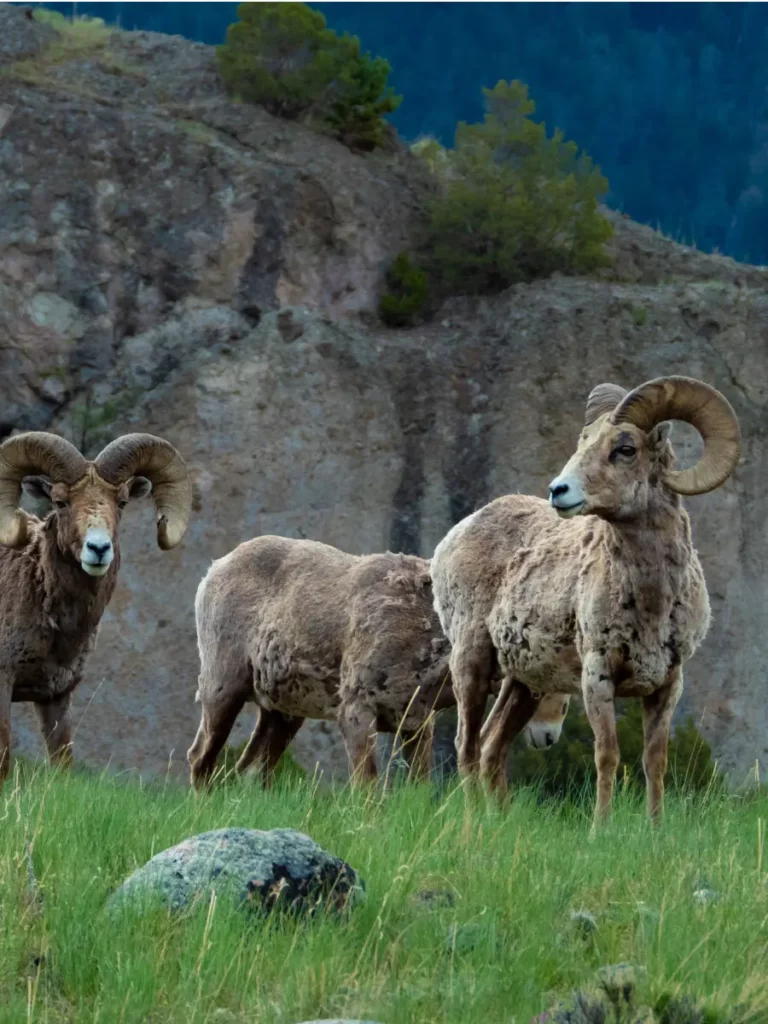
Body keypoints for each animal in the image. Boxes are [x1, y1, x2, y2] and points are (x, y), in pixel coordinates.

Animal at [187, 535, 571, 788]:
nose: (549, 736)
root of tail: (213, 571)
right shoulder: (357, 714)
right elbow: (367, 790)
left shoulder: (416, 725)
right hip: (223, 690)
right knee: (200, 759)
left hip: (281, 715)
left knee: (249, 770)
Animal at [431, 375, 741, 823]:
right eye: (584, 441)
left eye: (625, 449)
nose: (558, 491)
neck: (652, 604)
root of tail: (454, 536)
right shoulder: (597, 675)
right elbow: (607, 755)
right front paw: (601, 827)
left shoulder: (667, 684)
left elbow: (655, 761)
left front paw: (655, 827)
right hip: (470, 663)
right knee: (467, 748)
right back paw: (473, 825)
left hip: (523, 684)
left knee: (492, 746)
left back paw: (500, 822)